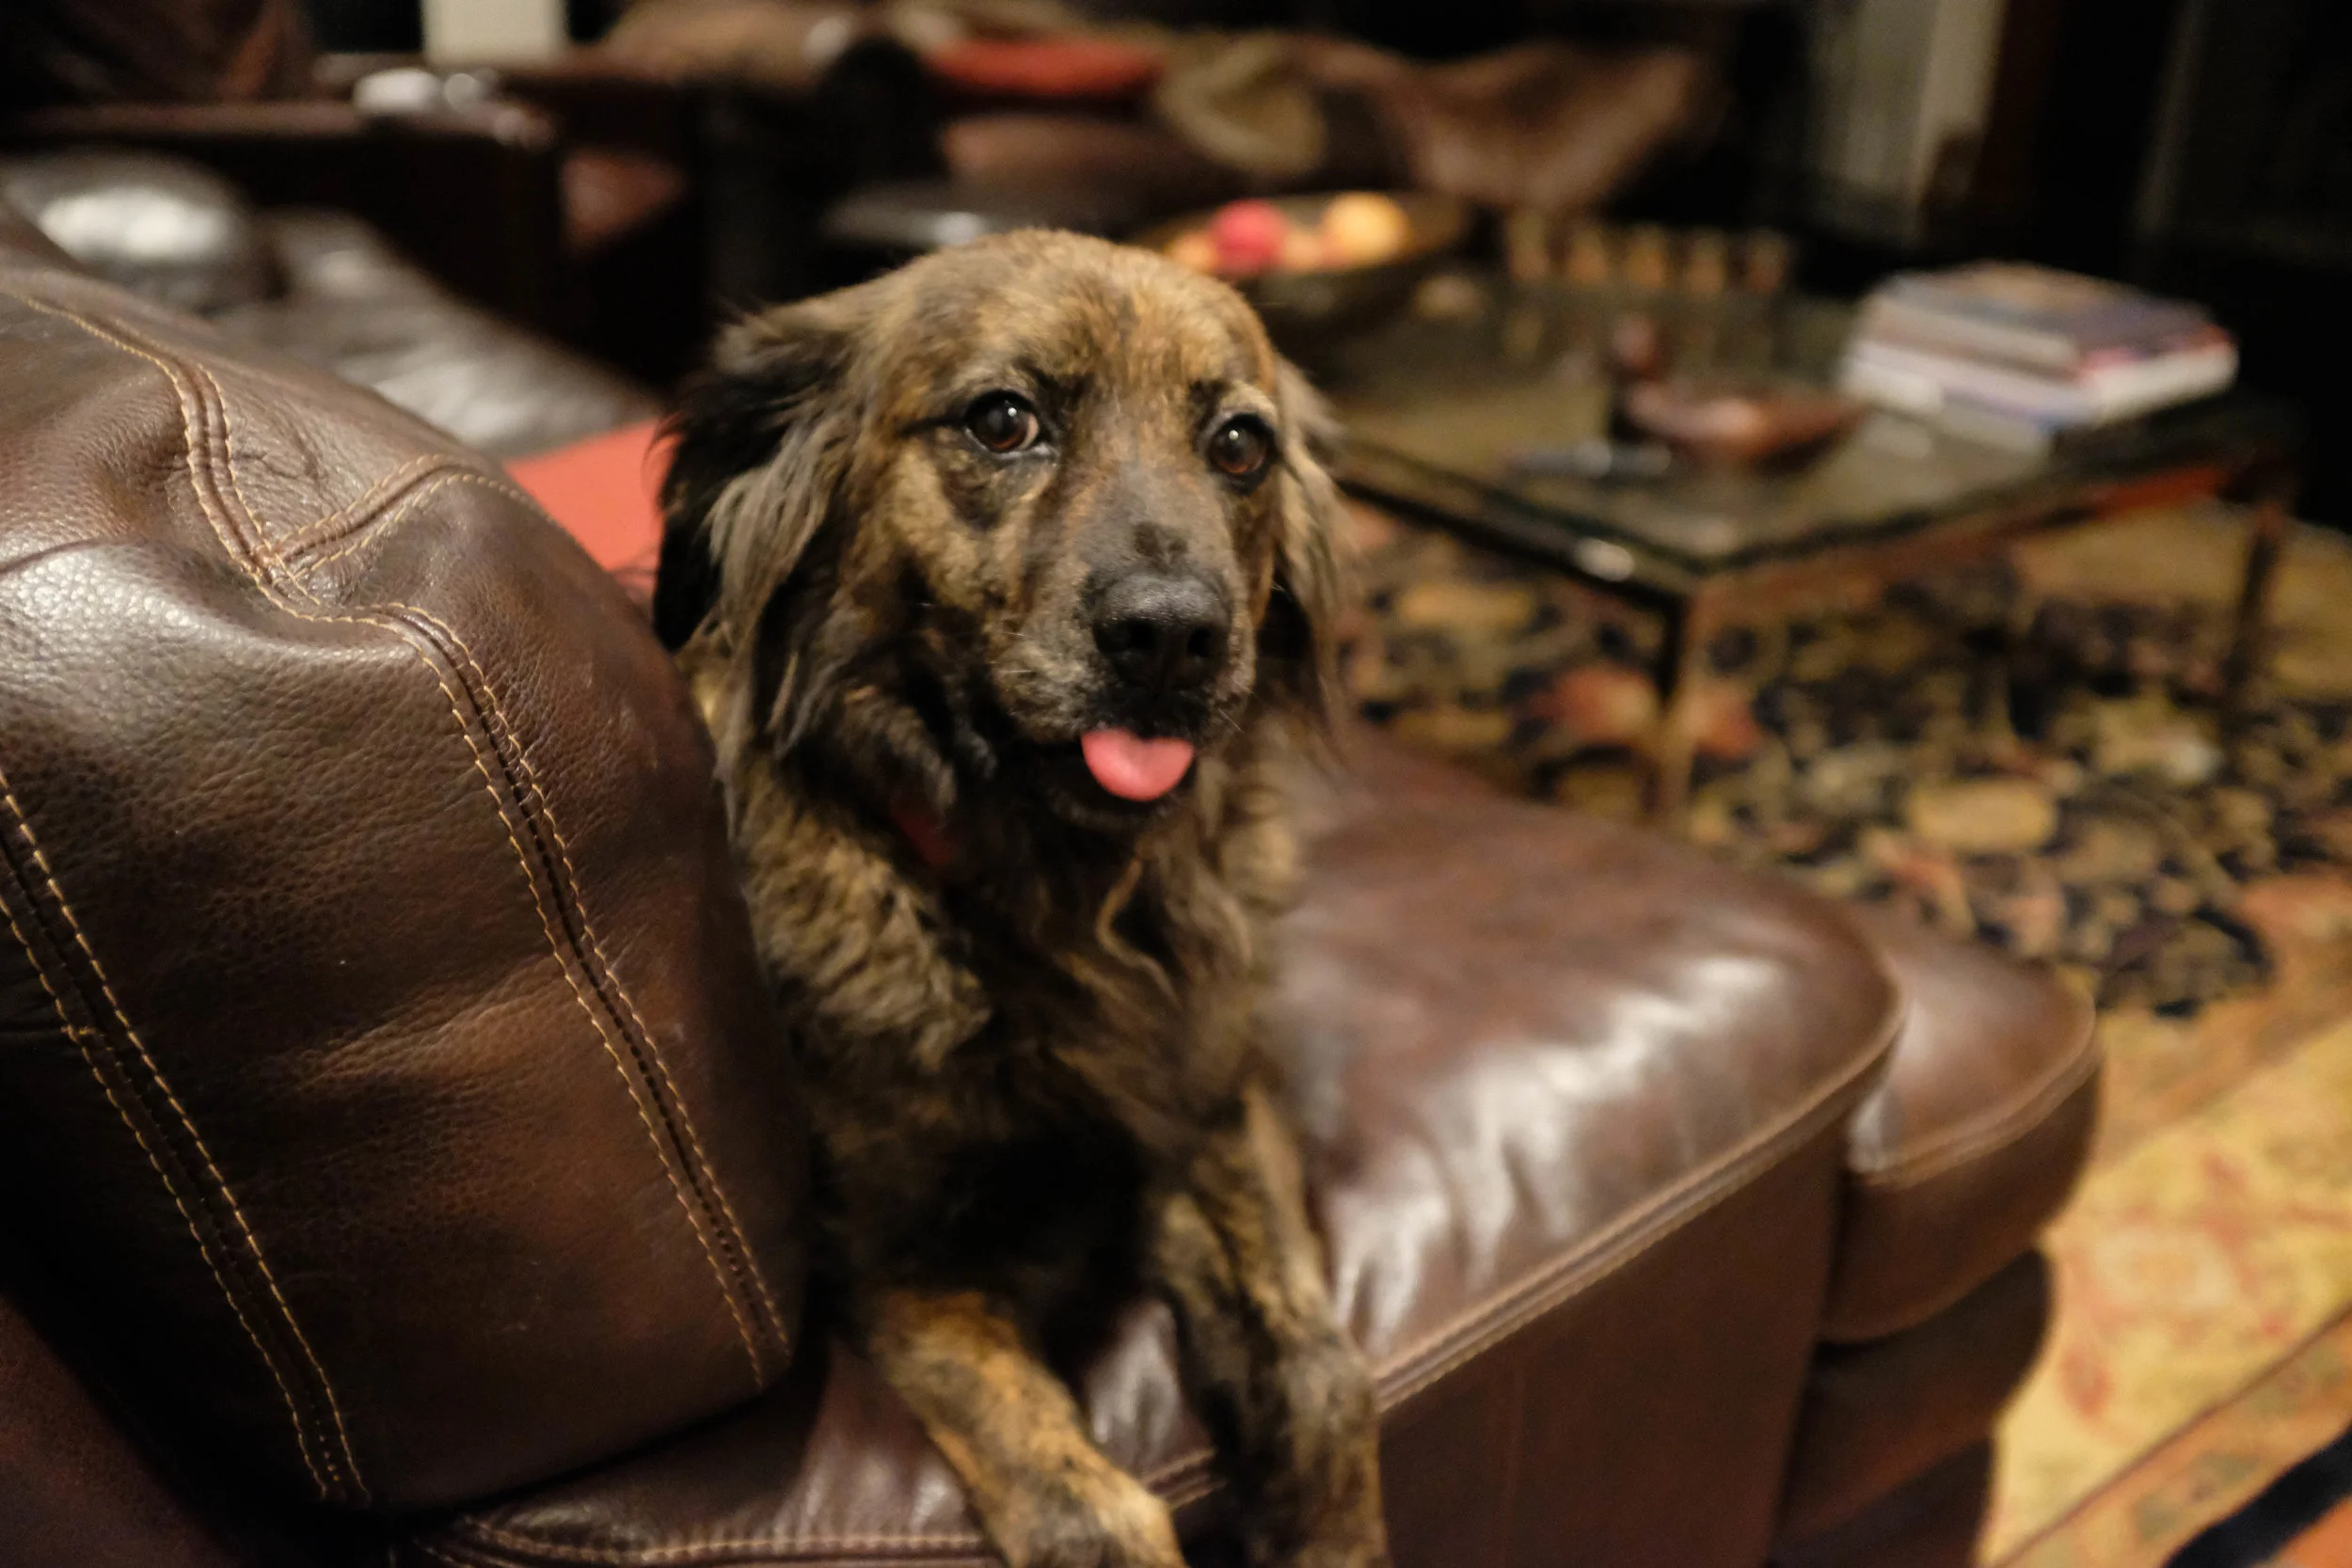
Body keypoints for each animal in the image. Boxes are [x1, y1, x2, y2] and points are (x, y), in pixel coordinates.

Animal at [652, 230, 1385, 1568]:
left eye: (1239, 445)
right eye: (1003, 421)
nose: (1172, 638)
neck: (1056, 896)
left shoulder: (1211, 1102)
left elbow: (1321, 1371)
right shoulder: (901, 1264)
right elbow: (1090, 1507)